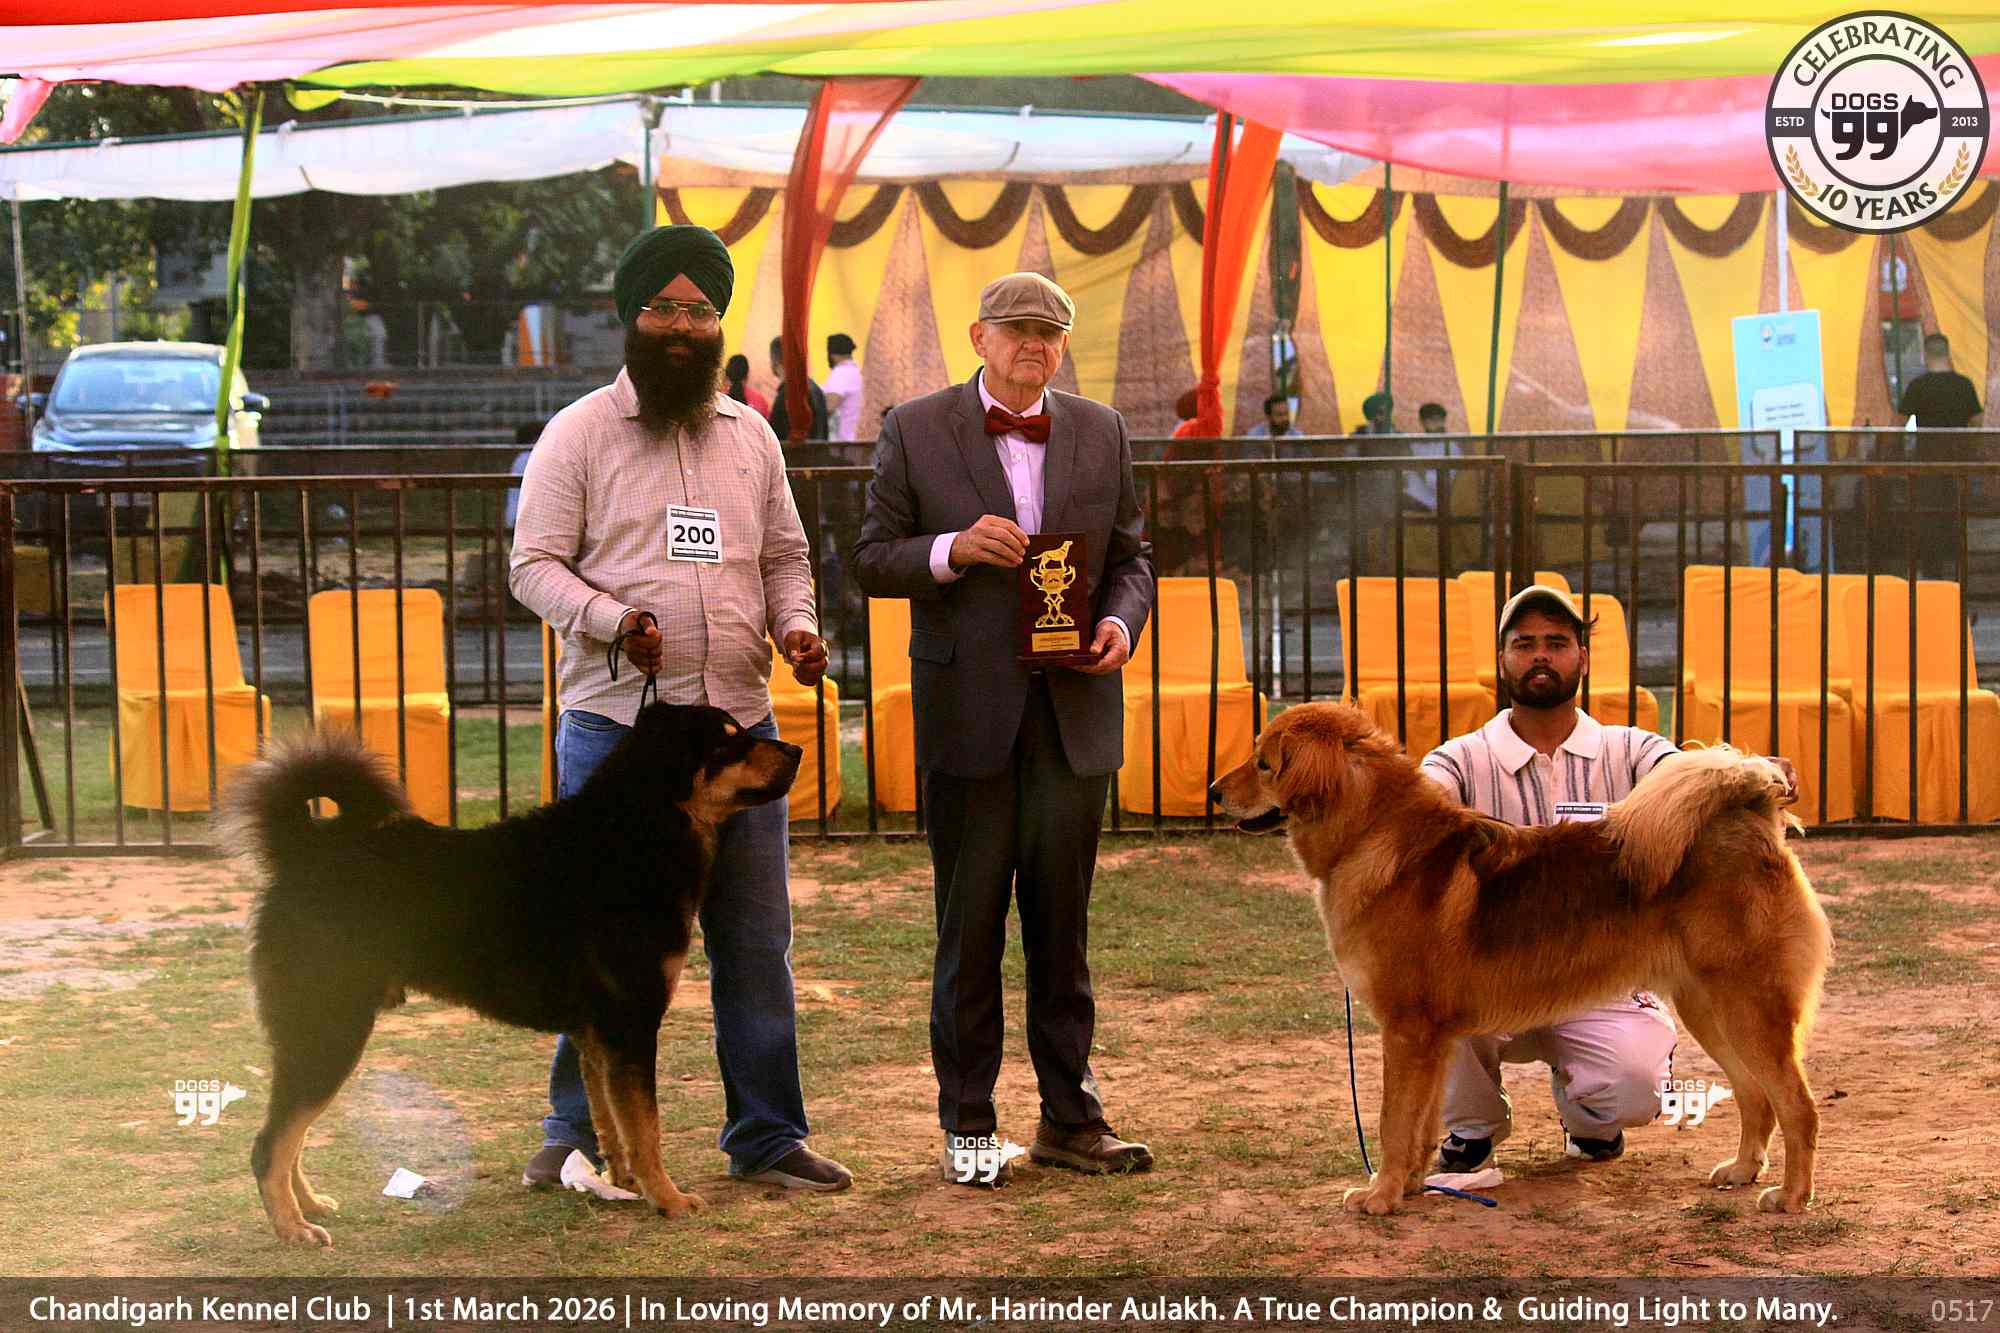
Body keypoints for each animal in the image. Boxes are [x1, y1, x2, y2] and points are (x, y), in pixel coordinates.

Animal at [223, 703, 801, 1246]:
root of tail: (304, 854)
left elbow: (612, 1124)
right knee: (270, 1142)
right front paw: (670, 1199)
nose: (795, 750)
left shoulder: (597, 1037)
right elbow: (646, 1128)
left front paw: (626, 1184)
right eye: (727, 742)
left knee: (289, 1134)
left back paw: (309, 1206)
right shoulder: (630, 1026)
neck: (638, 831)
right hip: (330, 1028)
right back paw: (293, 1229)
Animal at [1209, 703, 1831, 1217]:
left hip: (1747, 1009)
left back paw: (1791, 1196)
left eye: (1264, 764)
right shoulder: (1433, 1039)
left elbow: (1391, 1123)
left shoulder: (1406, 1031)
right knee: (1757, 1097)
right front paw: (1408, 1187)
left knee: (1798, 1106)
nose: (1213, 792)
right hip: (1710, 1009)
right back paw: (1743, 1170)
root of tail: (1752, 810)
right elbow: (1421, 1125)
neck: (1373, 836)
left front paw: (1379, 1197)